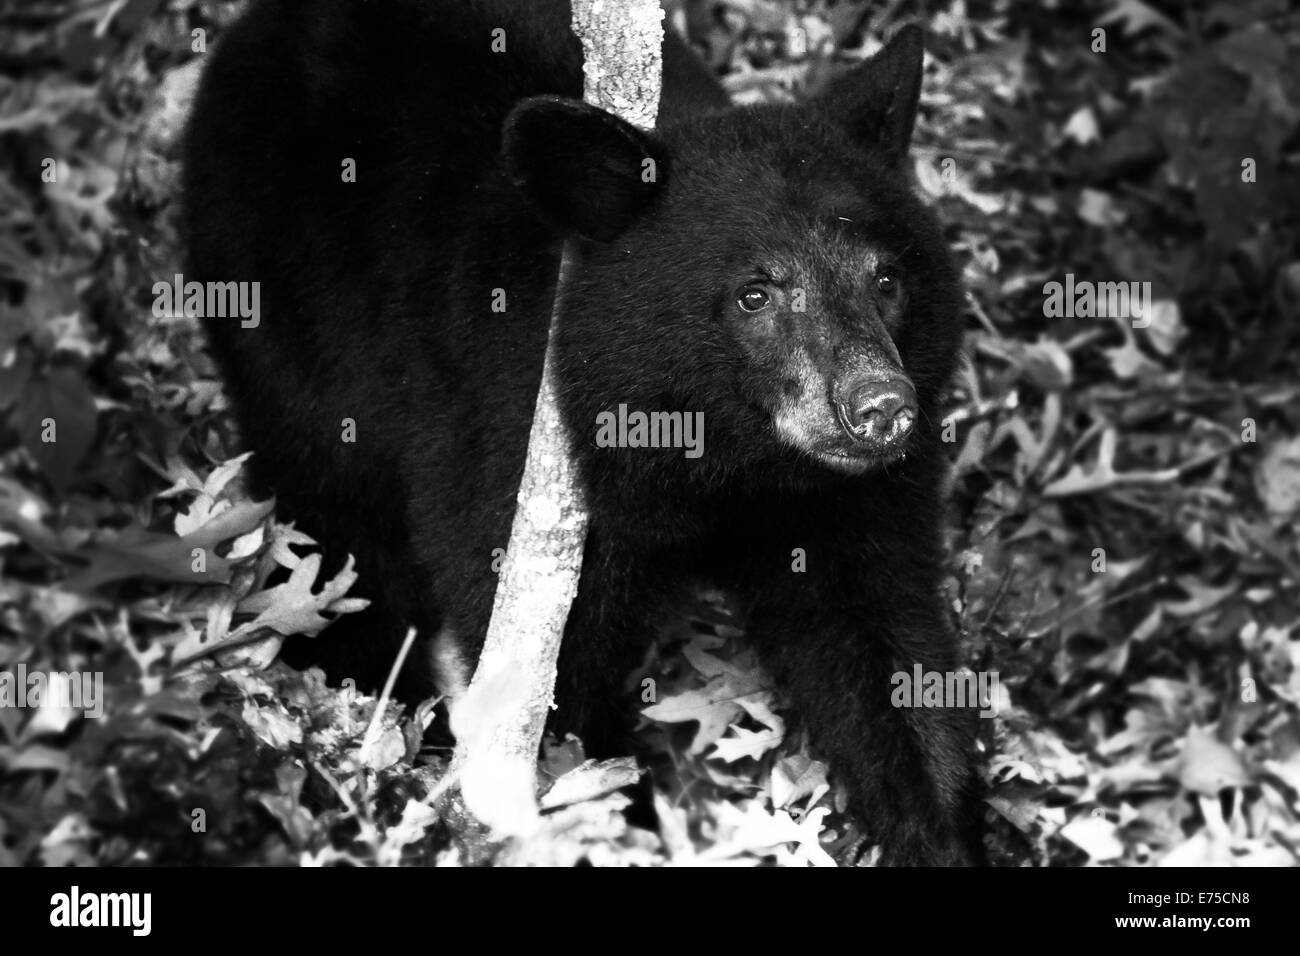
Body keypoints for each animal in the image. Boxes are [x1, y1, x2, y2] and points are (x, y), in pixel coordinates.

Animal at [182, 0, 983, 865]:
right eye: (756, 293)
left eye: (887, 278)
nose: (881, 406)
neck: (720, 458)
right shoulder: (510, 455)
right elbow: (556, 682)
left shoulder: (847, 504)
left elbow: (886, 656)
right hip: (286, 320)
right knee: (336, 527)